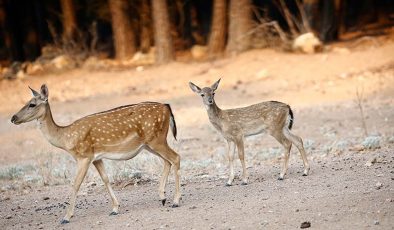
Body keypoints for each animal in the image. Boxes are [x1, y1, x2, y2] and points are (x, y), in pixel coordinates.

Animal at [11, 84, 182, 223]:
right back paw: (162, 198)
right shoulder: (96, 158)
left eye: (32, 104)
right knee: (168, 160)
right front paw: (115, 209)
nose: (13, 118)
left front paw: (66, 217)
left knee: (176, 157)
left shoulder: (84, 156)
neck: (66, 138)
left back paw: (175, 201)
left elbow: (75, 184)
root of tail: (167, 107)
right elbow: (105, 179)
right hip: (149, 144)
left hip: (156, 139)